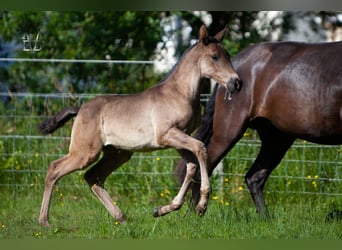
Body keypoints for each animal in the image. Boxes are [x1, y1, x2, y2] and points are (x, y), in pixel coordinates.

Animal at [37, 24, 242, 227]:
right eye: (214, 56)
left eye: (228, 55)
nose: (236, 83)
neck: (180, 92)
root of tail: (80, 109)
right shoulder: (166, 135)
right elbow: (200, 149)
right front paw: (201, 206)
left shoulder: (179, 138)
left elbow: (191, 165)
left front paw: (163, 209)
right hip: (85, 152)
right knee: (55, 169)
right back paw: (44, 221)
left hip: (118, 153)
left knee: (93, 176)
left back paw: (121, 217)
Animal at [175, 40, 342, 217]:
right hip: (229, 131)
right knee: (204, 169)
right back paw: (195, 213)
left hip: (277, 138)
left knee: (254, 178)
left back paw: (266, 219)